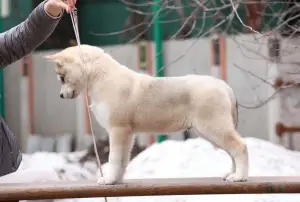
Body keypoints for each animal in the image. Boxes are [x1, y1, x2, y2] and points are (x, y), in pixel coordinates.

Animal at [45, 44, 248, 185]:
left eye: (62, 78)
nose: (61, 96)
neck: (101, 77)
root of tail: (224, 86)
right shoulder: (127, 133)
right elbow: (122, 160)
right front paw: (117, 181)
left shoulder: (117, 130)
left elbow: (113, 158)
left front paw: (108, 180)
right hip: (213, 131)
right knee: (232, 150)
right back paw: (232, 174)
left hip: (214, 128)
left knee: (240, 147)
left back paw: (239, 177)